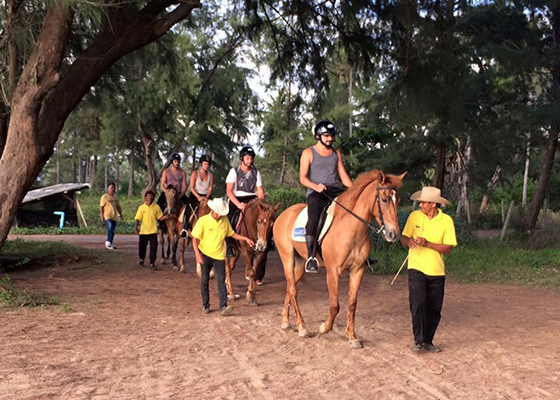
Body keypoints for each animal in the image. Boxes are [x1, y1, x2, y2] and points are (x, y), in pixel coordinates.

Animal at [274, 170, 404, 348]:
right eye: (384, 199)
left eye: (398, 200)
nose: (394, 234)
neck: (351, 229)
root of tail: (283, 215)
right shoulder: (333, 272)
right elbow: (335, 305)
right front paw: (324, 328)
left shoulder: (358, 270)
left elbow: (352, 303)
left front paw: (352, 336)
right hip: (287, 258)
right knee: (293, 290)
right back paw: (302, 328)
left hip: (300, 264)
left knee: (290, 286)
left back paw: (286, 321)